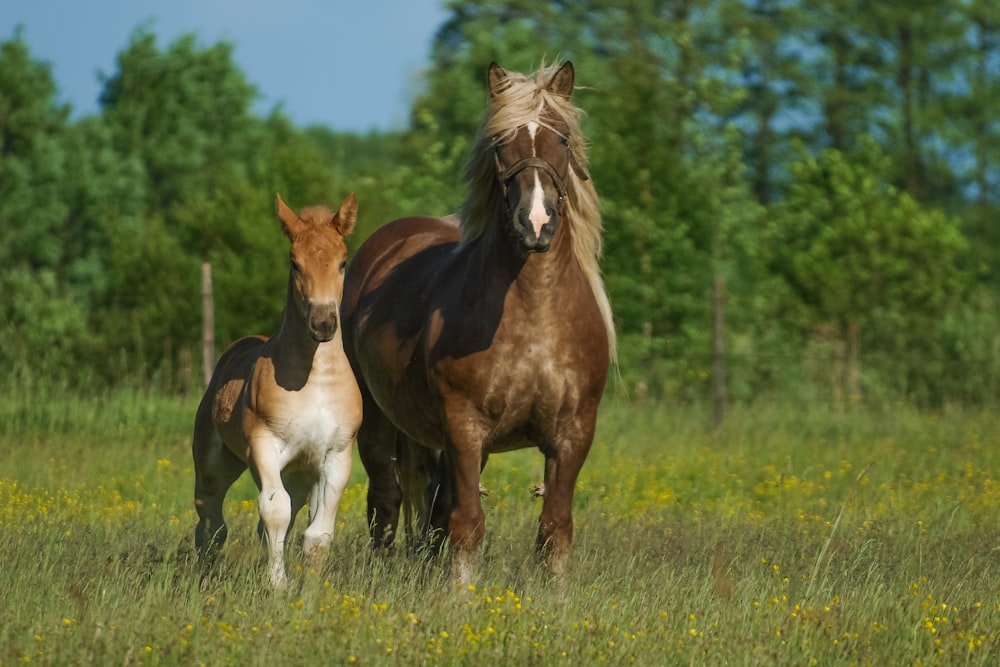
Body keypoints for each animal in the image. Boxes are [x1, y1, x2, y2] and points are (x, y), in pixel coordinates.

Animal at [191, 193, 360, 588]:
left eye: (343, 261)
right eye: (294, 263)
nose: (323, 323)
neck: (314, 382)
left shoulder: (337, 456)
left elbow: (317, 534)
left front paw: (309, 592)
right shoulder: (264, 444)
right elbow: (274, 511)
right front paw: (278, 586)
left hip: (298, 474)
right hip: (214, 462)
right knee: (210, 521)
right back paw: (204, 575)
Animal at [340, 62, 612, 584]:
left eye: (562, 138)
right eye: (500, 143)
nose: (536, 223)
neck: (535, 314)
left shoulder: (573, 434)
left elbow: (555, 527)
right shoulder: (464, 427)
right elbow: (467, 523)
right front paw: (458, 596)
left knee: (433, 505)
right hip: (379, 421)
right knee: (387, 500)